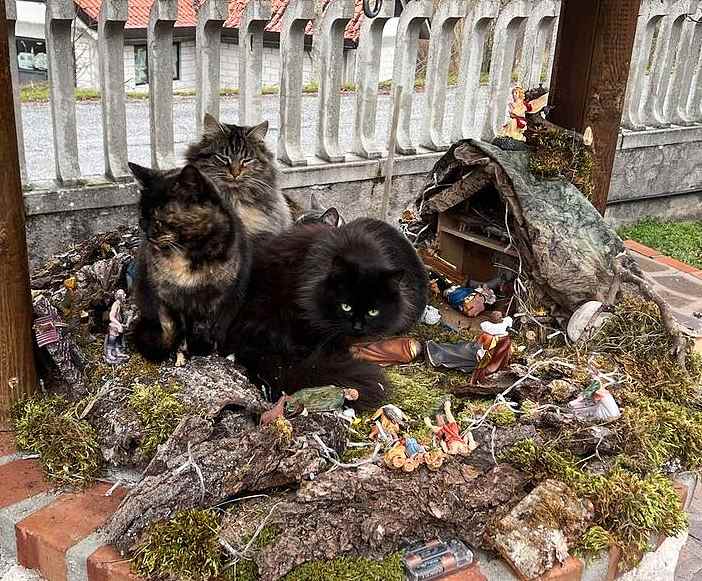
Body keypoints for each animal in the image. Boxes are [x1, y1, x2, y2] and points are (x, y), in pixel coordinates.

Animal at [128, 163, 252, 360]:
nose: (147, 235)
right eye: (142, 219)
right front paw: (180, 346)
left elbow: (206, 324)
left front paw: (202, 347)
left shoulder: (217, 296)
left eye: (158, 220)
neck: (184, 254)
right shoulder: (169, 297)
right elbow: (177, 325)